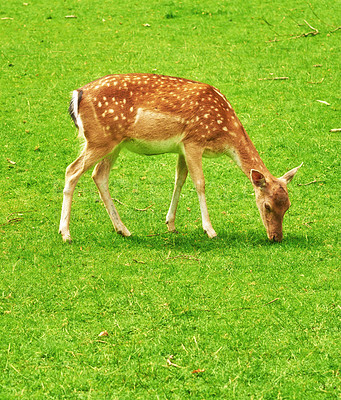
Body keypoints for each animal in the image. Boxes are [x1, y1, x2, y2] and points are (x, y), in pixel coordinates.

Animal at [58, 74, 300, 244]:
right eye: (267, 206)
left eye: (288, 206)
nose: (276, 237)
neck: (224, 133)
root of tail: (76, 94)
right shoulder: (194, 141)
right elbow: (200, 183)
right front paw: (210, 230)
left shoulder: (182, 148)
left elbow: (179, 180)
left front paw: (170, 223)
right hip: (99, 139)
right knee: (72, 170)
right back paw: (66, 233)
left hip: (114, 143)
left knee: (99, 175)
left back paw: (123, 230)